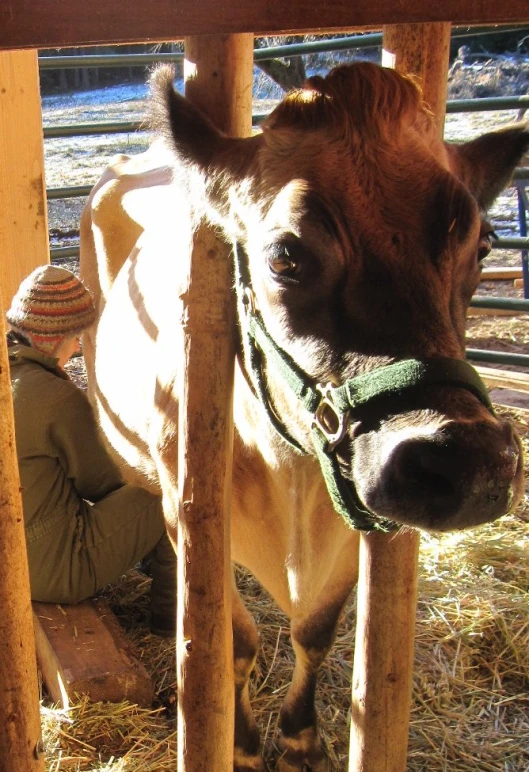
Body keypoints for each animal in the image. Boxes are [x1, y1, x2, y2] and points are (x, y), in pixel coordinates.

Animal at [79, 63, 528, 768]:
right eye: (285, 256)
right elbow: (231, 643)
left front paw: (300, 738)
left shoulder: (353, 524)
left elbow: (316, 630)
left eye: (483, 244)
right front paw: (240, 743)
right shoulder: (192, 510)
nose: (469, 464)